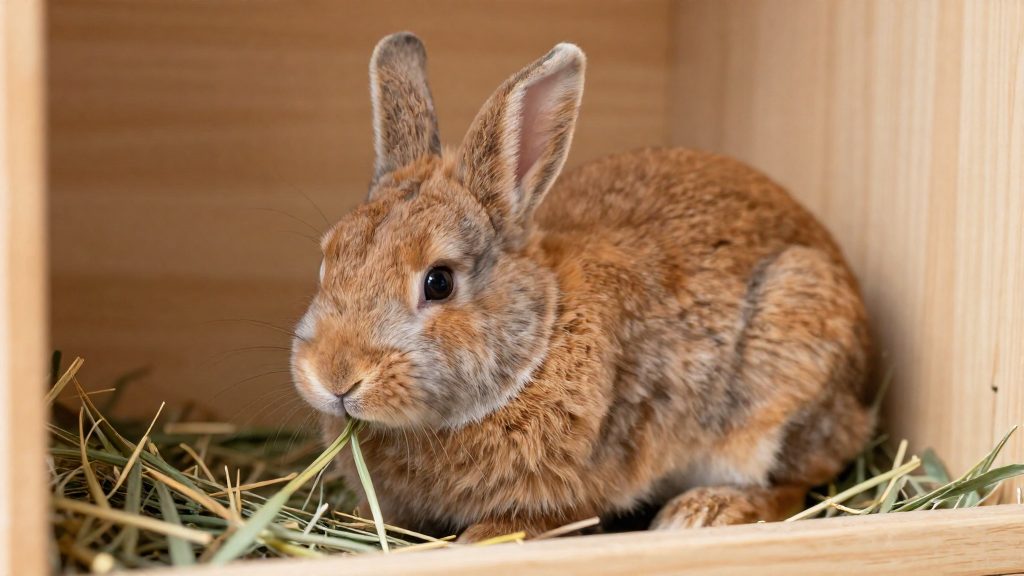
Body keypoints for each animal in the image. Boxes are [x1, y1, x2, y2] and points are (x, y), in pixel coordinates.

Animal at [290, 31, 873, 541]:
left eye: (439, 282)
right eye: (326, 261)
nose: (335, 376)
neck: (539, 341)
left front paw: (479, 539)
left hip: (786, 375)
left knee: (794, 485)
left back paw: (703, 511)